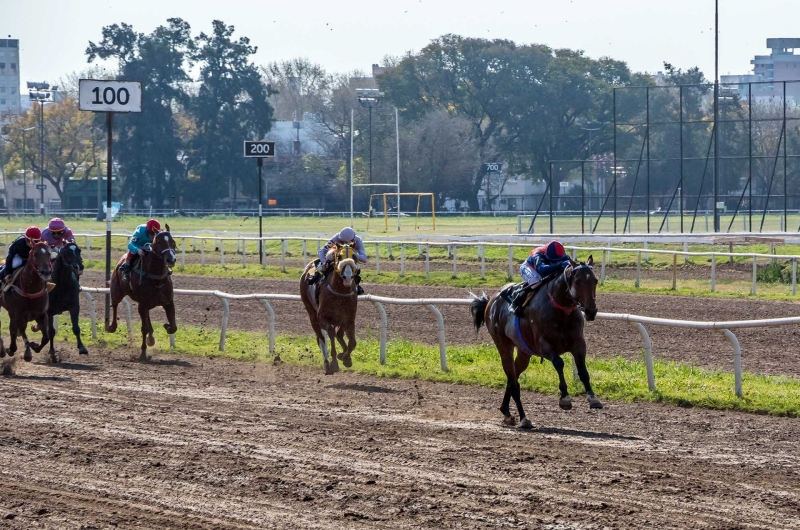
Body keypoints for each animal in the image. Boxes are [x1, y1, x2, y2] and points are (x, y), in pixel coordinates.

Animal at [106, 225, 177, 360]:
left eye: (173, 242)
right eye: (159, 242)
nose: (171, 259)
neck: (156, 278)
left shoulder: (168, 302)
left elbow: (174, 327)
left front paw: (166, 326)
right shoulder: (142, 305)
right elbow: (144, 328)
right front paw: (143, 353)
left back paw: (151, 337)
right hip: (117, 291)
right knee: (115, 304)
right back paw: (111, 326)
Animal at [300, 244, 360, 374]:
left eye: (354, 256)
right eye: (339, 256)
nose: (348, 277)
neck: (340, 292)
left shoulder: (349, 319)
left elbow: (352, 342)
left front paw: (345, 358)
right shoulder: (323, 318)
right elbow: (331, 334)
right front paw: (334, 363)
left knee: (339, 334)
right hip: (312, 314)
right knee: (322, 338)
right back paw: (327, 363)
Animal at [468, 256, 600, 428]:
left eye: (595, 281)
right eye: (577, 282)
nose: (591, 311)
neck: (561, 311)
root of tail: (491, 301)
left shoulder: (578, 344)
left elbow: (583, 371)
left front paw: (593, 398)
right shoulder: (543, 345)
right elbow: (559, 363)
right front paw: (565, 398)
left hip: (524, 351)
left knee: (513, 377)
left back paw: (507, 412)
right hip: (503, 345)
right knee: (514, 383)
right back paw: (524, 418)